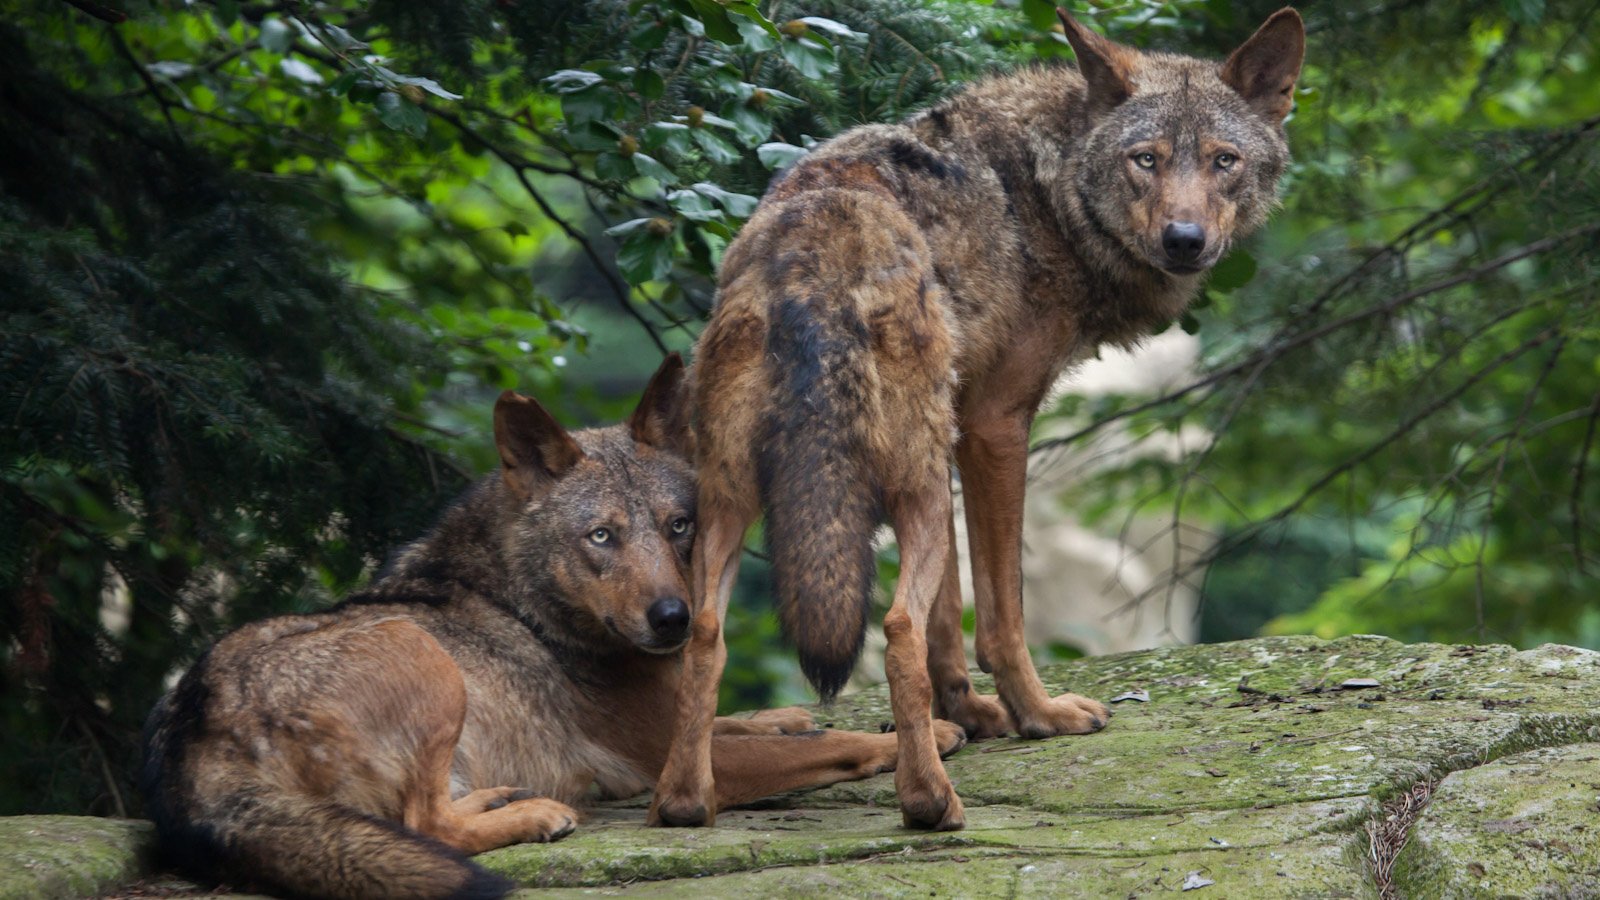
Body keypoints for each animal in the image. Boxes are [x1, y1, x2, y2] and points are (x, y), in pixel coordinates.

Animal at [140, 353, 960, 890]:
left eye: (680, 527)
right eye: (601, 536)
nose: (674, 619)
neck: (534, 610)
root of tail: (189, 739)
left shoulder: (679, 713)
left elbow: (755, 719)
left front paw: (788, 714)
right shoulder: (673, 765)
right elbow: (836, 743)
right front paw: (927, 737)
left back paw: (505, 797)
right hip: (420, 652)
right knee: (424, 826)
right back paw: (536, 814)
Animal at [656, 10, 1305, 832]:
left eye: (1224, 161)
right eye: (1145, 161)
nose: (1184, 240)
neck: (1050, 192)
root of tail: (810, 251)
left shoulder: (958, 431)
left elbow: (950, 613)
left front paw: (971, 714)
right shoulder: (999, 426)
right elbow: (999, 611)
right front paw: (1037, 715)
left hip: (746, 499)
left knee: (707, 634)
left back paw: (685, 803)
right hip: (913, 488)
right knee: (896, 629)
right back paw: (929, 800)